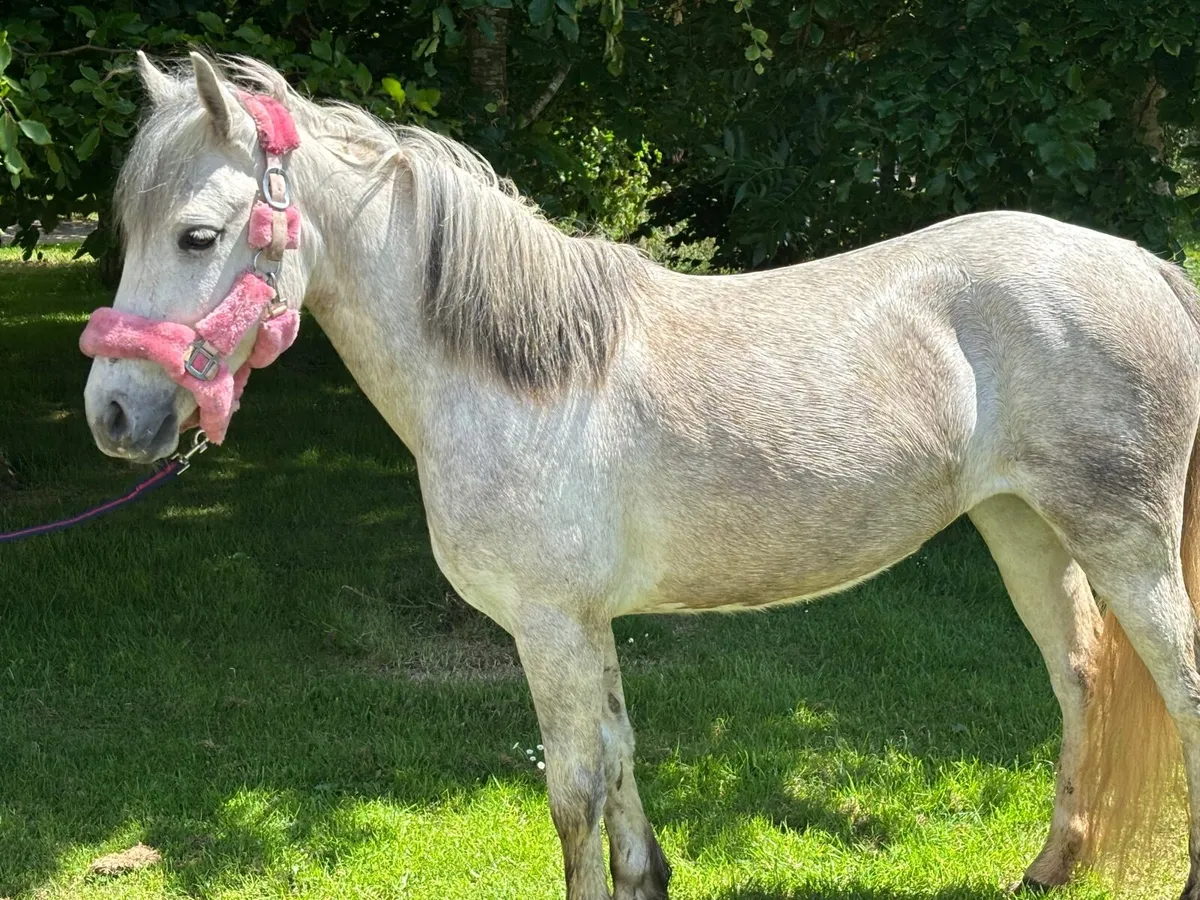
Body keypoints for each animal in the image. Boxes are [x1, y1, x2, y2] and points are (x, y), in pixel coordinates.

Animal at [80, 51, 1200, 900]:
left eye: (197, 234)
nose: (114, 416)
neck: (513, 373)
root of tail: (1144, 264)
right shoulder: (585, 624)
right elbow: (618, 754)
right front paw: (646, 877)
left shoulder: (548, 625)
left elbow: (573, 788)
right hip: (1022, 527)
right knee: (1078, 678)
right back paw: (1048, 868)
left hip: (1123, 542)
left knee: (1177, 686)